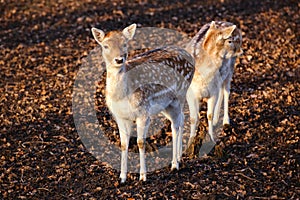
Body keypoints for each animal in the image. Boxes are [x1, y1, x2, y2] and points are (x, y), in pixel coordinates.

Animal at [90, 23, 196, 183]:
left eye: (125, 44)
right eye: (105, 46)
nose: (119, 59)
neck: (121, 95)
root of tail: (190, 56)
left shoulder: (143, 112)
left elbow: (141, 142)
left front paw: (143, 176)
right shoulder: (120, 116)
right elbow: (123, 144)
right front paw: (122, 177)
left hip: (180, 95)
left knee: (176, 124)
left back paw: (175, 164)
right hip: (166, 105)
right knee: (180, 119)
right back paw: (178, 157)